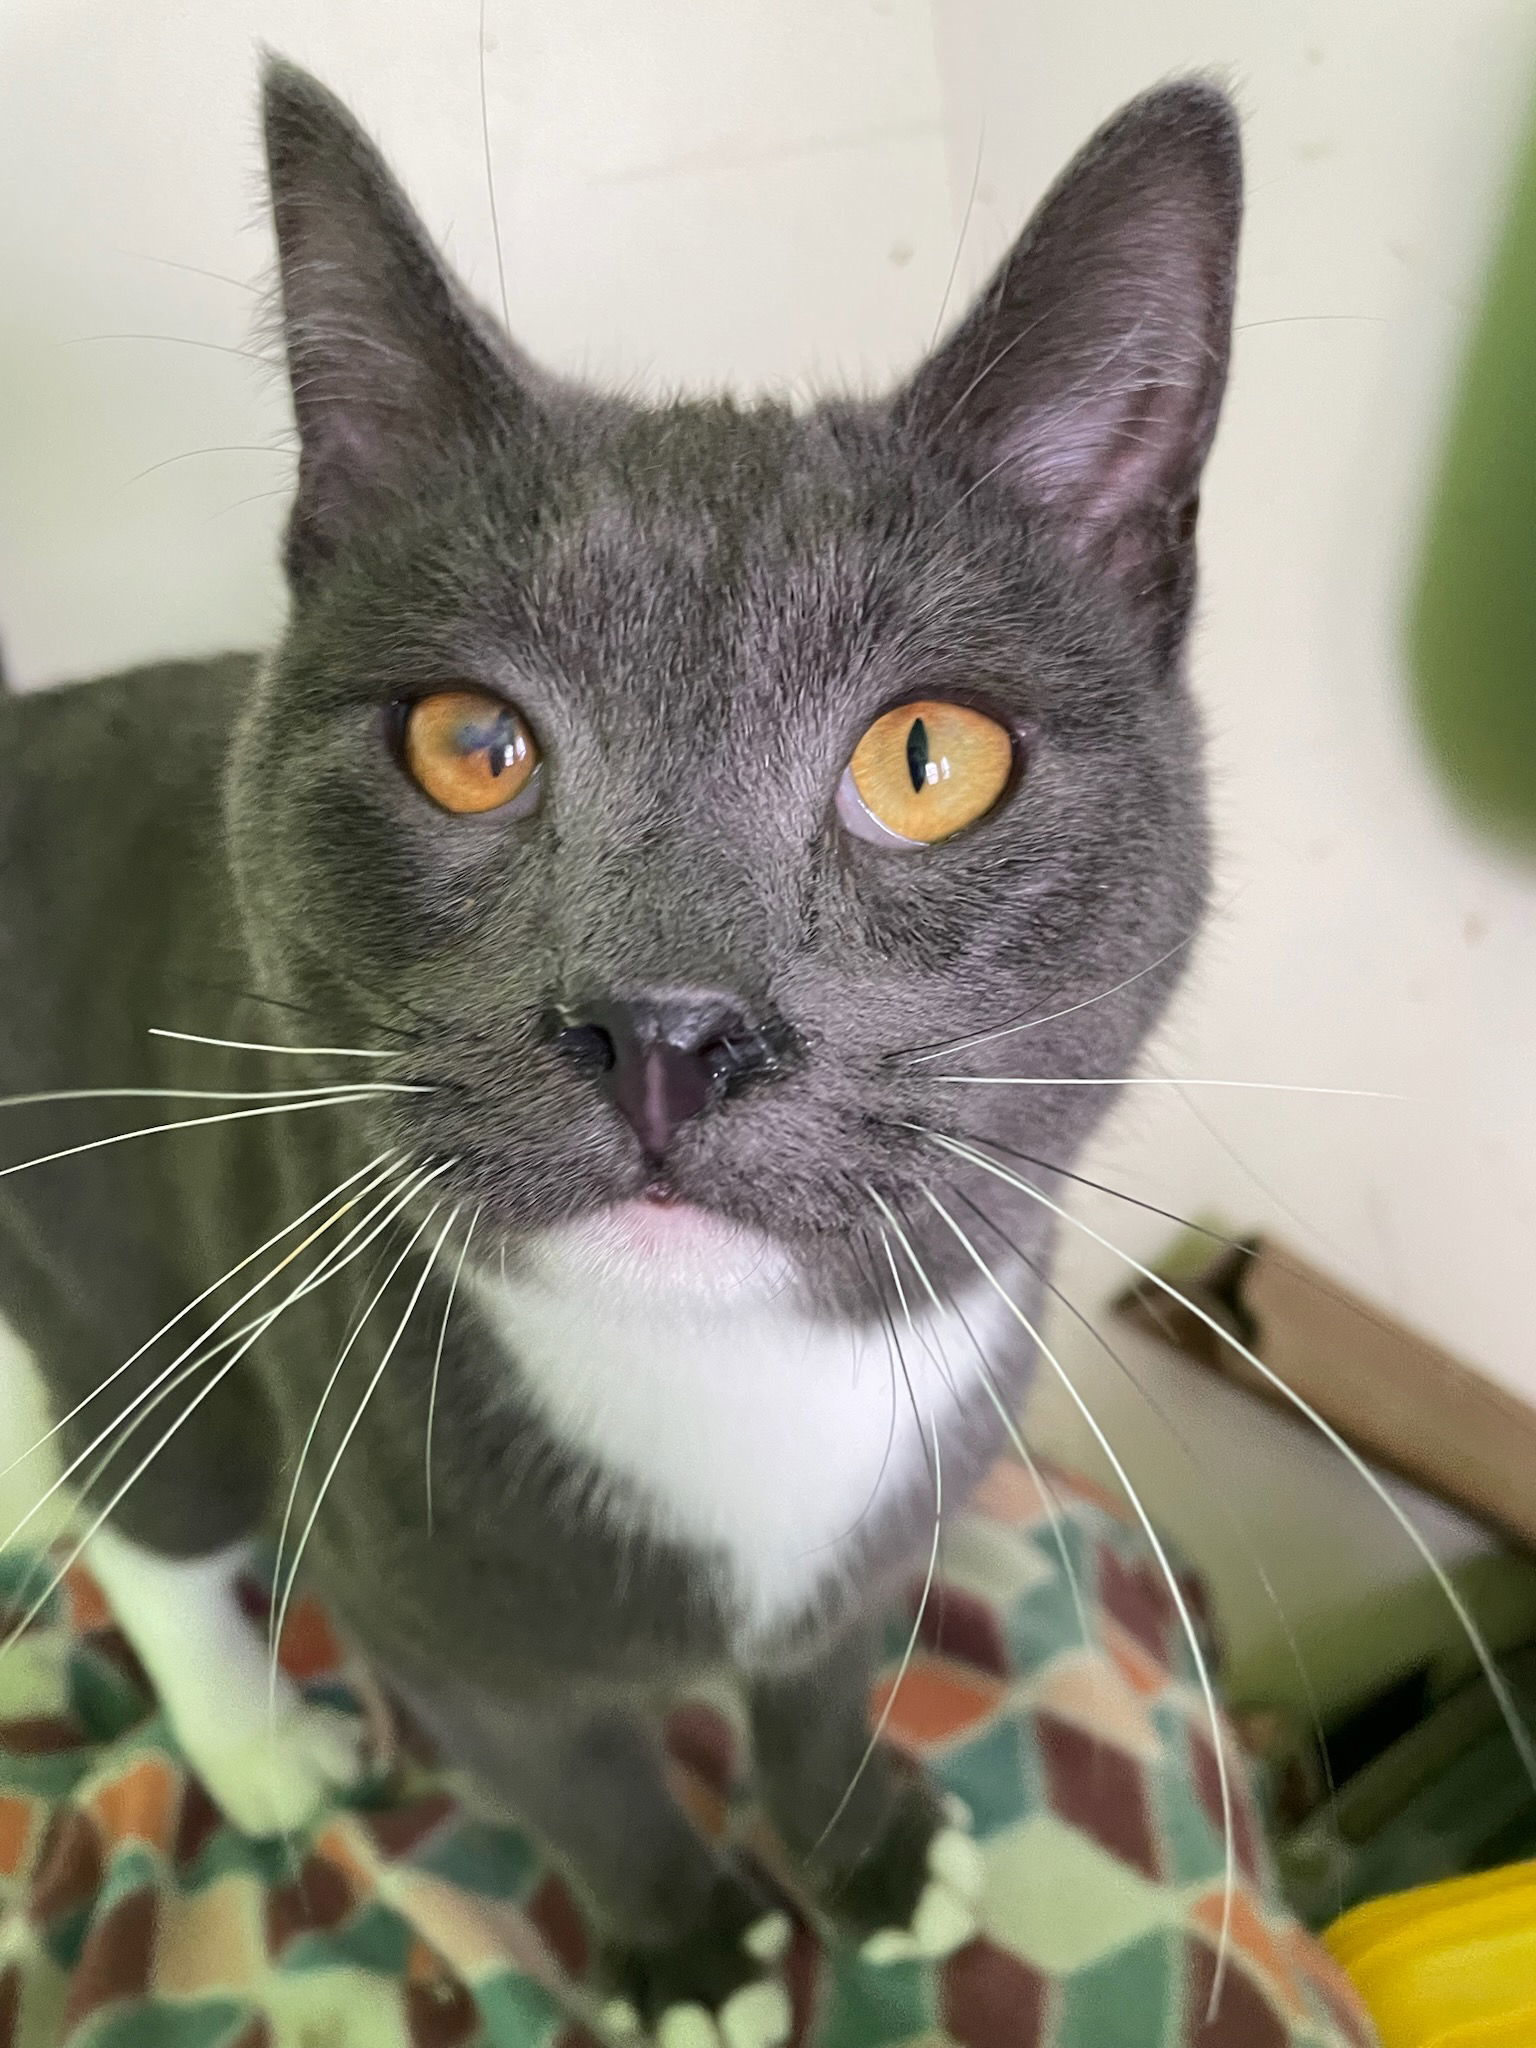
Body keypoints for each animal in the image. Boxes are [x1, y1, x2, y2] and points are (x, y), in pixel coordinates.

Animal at [0, 59, 1245, 2048]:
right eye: (467, 744)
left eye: (928, 760)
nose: (662, 1021)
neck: (741, 1396)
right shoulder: (429, 1606)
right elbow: (578, 1774)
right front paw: (686, 1946)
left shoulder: (898, 1521)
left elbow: (821, 1685)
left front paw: (865, 1852)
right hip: (110, 1247)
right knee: (144, 1496)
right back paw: (260, 1747)